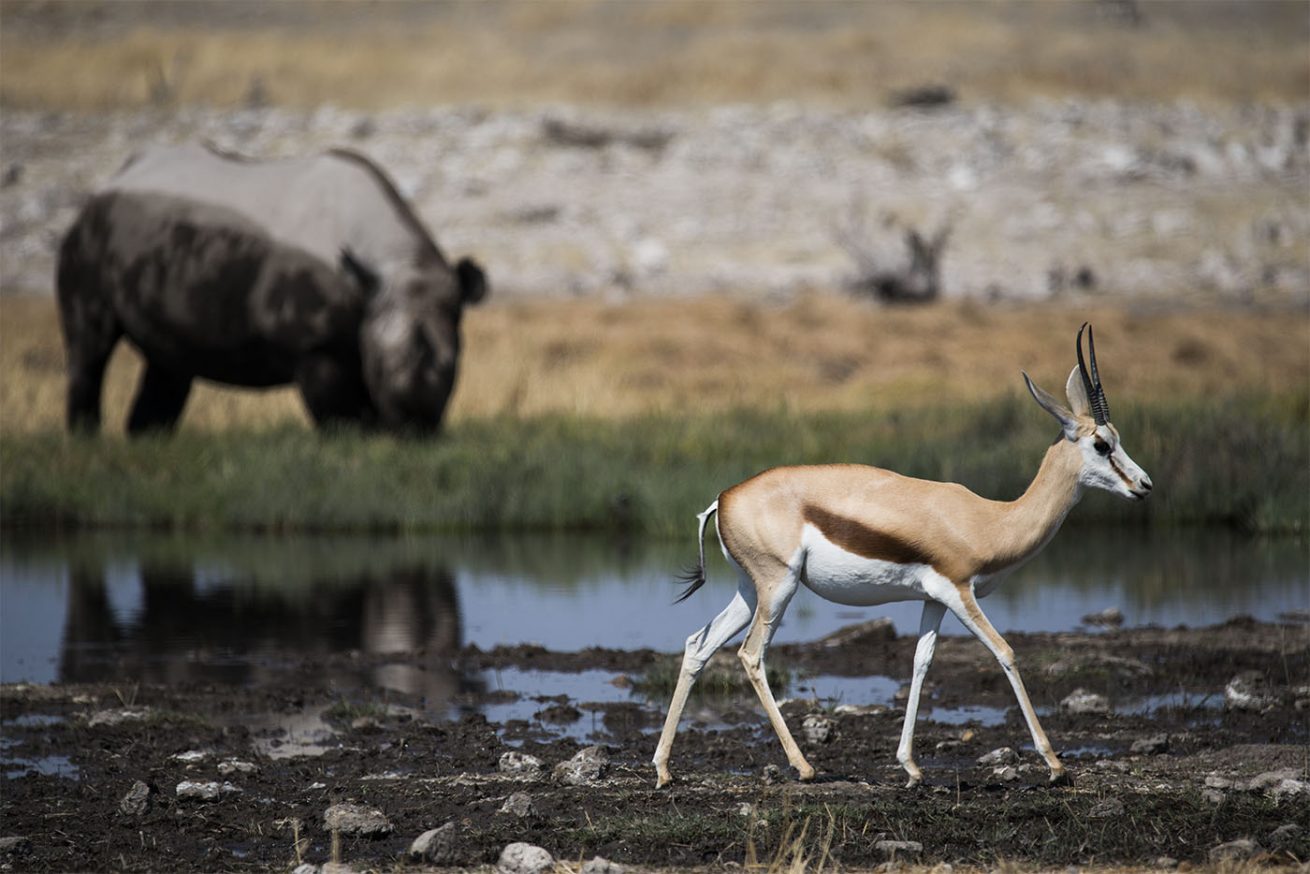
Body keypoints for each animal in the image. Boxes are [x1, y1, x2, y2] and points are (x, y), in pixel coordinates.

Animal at [56, 142, 487, 434]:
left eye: (453, 366)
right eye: (381, 366)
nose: (417, 424)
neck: (397, 264)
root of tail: (114, 178)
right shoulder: (314, 345)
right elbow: (342, 423)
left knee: (168, 361)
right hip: (89, 235)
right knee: (90, 347)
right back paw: (86, 443)